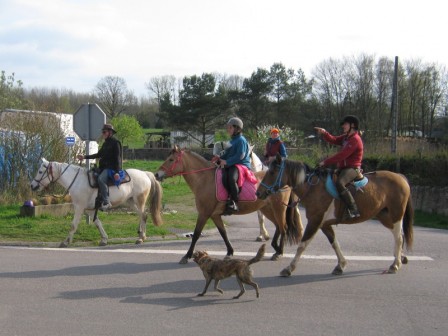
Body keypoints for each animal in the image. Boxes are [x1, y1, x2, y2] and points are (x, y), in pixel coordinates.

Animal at [30, 158, 163, 247]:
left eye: (40, 172)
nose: (32, 185)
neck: (77, 181)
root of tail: (145, 174)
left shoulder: (79, 207)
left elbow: (73, 225)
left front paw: (65, 242)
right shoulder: (88, 209)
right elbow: (98, 223)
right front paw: (104, 239)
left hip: (139, 200)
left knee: (144, 215)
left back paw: (141, 238)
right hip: (130, 202)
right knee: (141, 216)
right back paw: (140, 235)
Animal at [156, 146, 302, 264]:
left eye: (171, 159)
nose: (157, 174)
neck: (205, 179)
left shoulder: (204, 214)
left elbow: (196, 234)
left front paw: (187, 256)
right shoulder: (215, 215)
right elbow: (223, 233)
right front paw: (230, 252)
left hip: (279, 208)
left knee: (283, 227)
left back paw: (279, 252)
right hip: (267, 209)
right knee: (278, 226)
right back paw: (275, 248)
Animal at [258, 154, 414, 276]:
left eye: (272, 172)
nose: (258, 193)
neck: (313, 188)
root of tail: (400, 177)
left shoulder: (314, 221)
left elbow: (302, 245)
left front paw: (289, 268)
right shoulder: (324, 224)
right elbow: (334, 243)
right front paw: (341, 265)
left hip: (396, 215)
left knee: (399, 237)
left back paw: (395, 264)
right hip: (384, 216)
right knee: (398, 235)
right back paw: (399, 258)